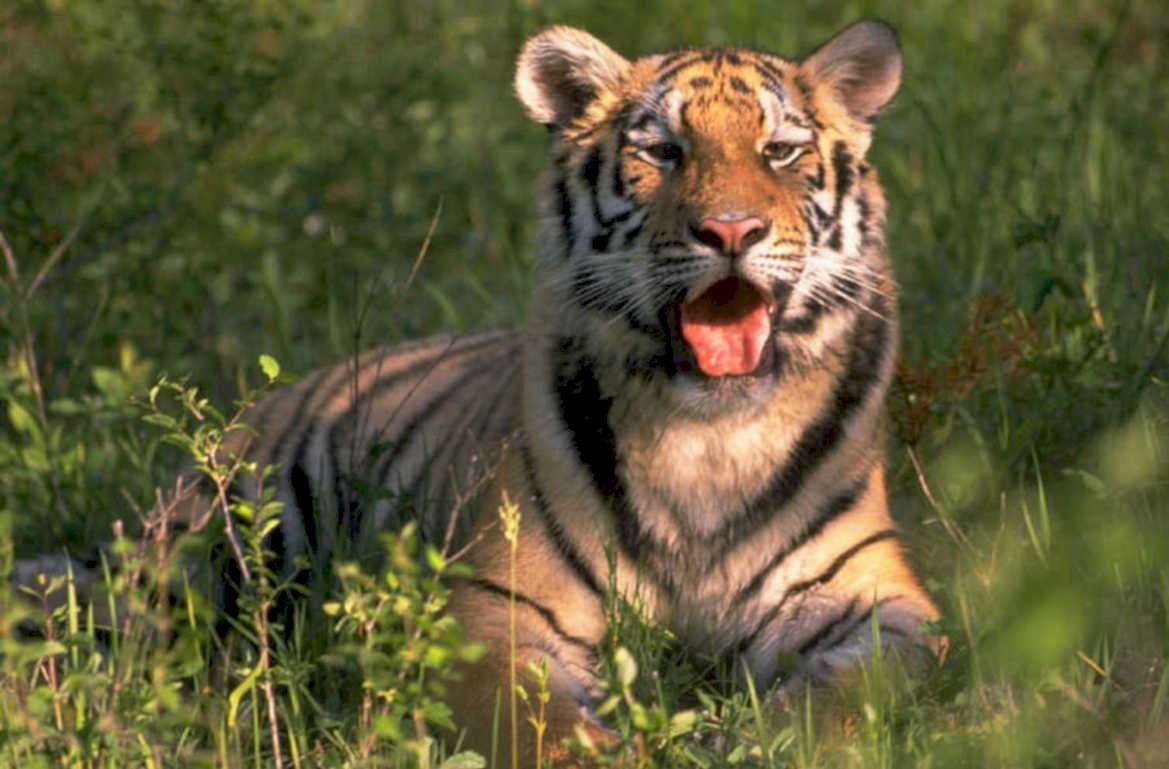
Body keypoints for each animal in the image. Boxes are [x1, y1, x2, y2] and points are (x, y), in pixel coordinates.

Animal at [14, 19, 939, 767]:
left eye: (779, 152)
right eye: (662, 152)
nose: (731, 230)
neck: (706, 441)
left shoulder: (879, 606)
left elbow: (842, 703)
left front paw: (753, 735)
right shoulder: (493, 614)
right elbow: (542, 728)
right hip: (205, 557)